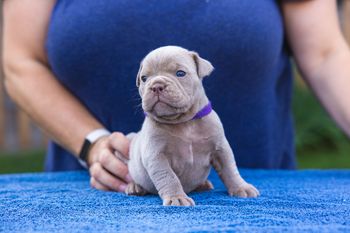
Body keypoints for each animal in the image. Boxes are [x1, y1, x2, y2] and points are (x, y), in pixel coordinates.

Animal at [126, 45, 260, 206]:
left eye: (180, 73)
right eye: (144, 78)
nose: (156, 86)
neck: (185, 121)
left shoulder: (221, 148)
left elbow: (230, 169)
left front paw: (241, 187)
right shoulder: (156, 156)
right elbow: (169, 177)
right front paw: (177, 197)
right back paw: (134, 186)